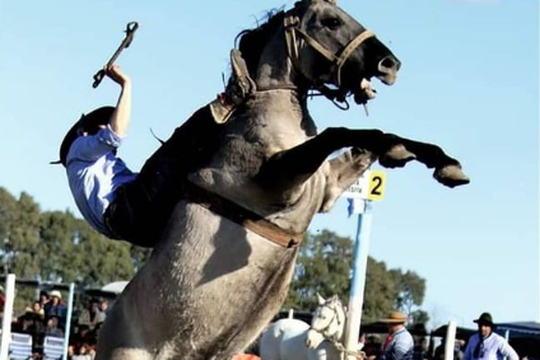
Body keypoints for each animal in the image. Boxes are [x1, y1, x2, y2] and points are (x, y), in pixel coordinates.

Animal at [96, 0, 468, 360]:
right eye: (331, 21)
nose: (390, 64)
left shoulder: (327, 187)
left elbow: (367, 141)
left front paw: (442, 162)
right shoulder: (278, 180)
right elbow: (339, 132)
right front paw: (408, 153)